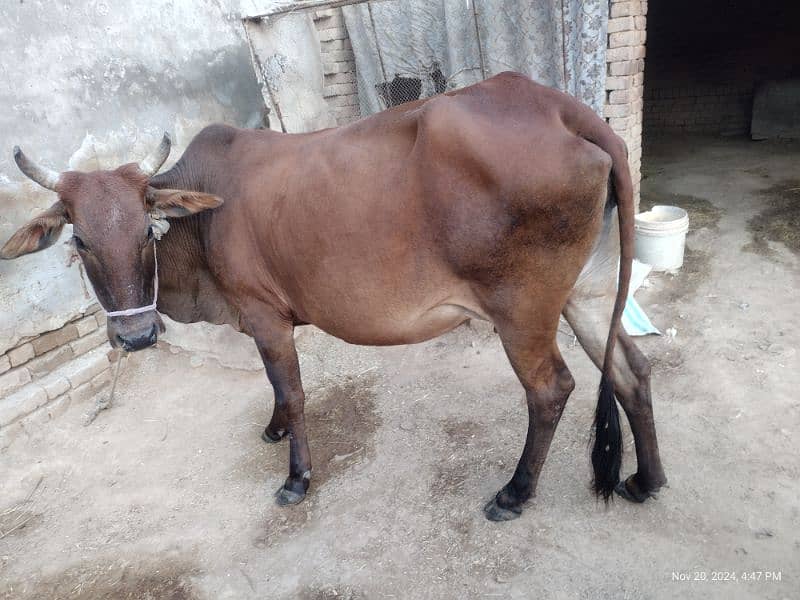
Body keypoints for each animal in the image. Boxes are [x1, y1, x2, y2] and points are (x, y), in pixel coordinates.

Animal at [1, 72, 664, 516]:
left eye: (145, 229)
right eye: (80, 238)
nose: (136, 336)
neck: (200, 219)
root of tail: (561, 109)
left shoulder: (263, 314)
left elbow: (292, 393)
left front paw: (296, 478)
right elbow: (277, 392)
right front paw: (272, 430)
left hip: (521, 309)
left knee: (551, 389)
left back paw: (514, 492)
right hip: (585, 294)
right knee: (631, 369)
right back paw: (646, 479)